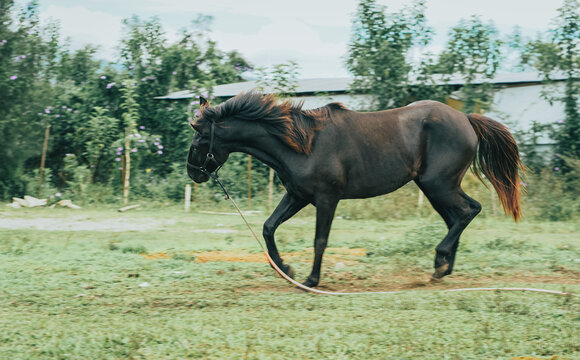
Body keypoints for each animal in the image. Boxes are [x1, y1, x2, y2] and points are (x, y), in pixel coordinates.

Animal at [187, 91, 524, 288]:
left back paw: (440, 263)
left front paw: (311, 279)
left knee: (468, 211)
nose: (193, 173)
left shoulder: (327, 199)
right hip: (436, 187)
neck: (303, 143)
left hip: (438, 184)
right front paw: (287, 270)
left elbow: (320, 240)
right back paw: (442, 268)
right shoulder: (298, 196)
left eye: (199, 137)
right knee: (457, 217)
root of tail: (465, 118)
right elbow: (269, 227)